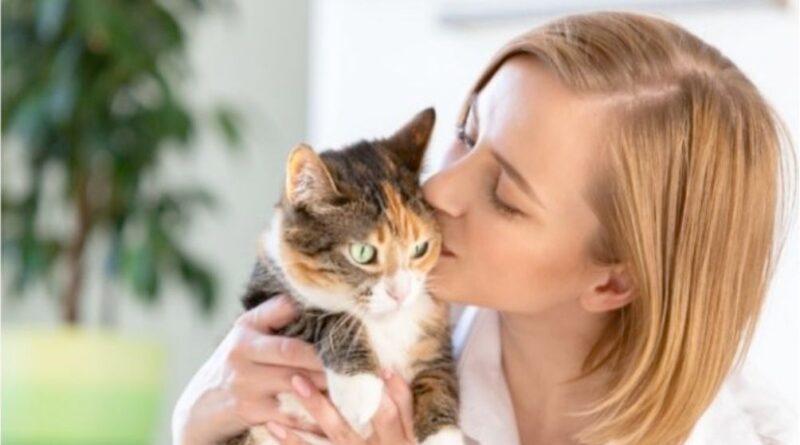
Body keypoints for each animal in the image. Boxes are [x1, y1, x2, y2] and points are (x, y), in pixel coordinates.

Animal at [225, 107, 462, 444]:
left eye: (420, 248)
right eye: (362, 253)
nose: (401, 293)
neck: (385, 324)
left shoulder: (432, 329)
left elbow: (439, 375)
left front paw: (444, 435)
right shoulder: (264, 294)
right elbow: (324, 317)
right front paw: (359, 388)